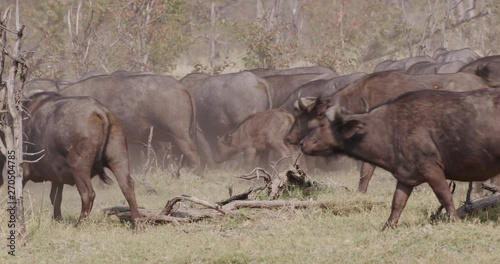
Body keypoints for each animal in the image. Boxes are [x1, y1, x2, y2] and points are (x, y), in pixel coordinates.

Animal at [298, 88, 500, 229]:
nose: (302, 143)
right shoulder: (405, 176)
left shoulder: (431, 167)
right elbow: (397, 204)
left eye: (321, 124)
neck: (390, 128)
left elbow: (444, 196)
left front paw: (455, 220)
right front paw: (387, 227)